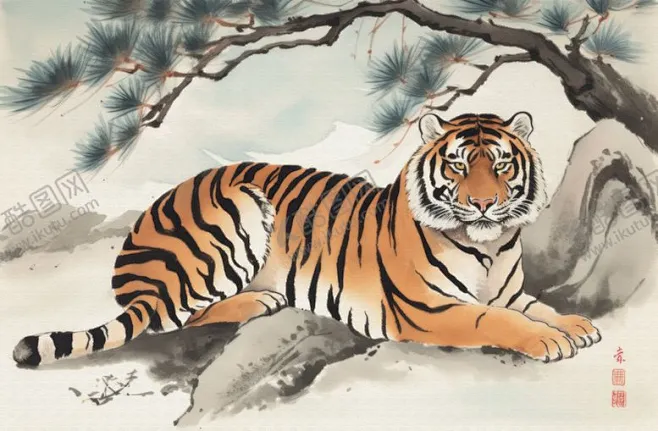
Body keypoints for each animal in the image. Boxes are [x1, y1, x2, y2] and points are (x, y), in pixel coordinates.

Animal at [13, 111, 601, 367]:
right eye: (457, 166)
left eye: (501, 165)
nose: (482, 204)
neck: (488, 245)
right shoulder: (428, 310)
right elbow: (495, 320)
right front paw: (550, 341)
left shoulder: (511, 290)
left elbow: (538, 306)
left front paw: (576, 325)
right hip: (238, 209)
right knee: (176, 316)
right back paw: (260, 300)